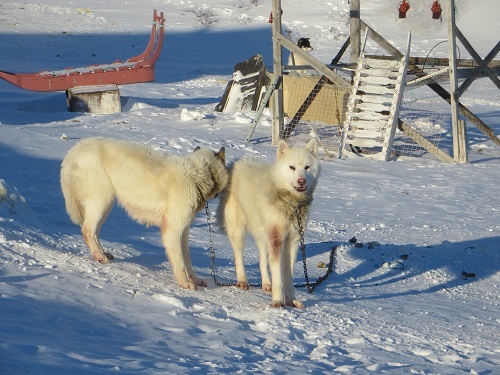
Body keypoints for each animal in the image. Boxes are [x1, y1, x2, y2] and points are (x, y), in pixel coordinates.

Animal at [60, 138, 229, 290]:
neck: (195, 176)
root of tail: (77, 148)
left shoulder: (184, 230)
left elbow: (187, 260)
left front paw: (195, 279)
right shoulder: (173, 230)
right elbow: (180, 262)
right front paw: (185, 283)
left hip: (106, 205)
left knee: (94, 232)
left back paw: (103, 253)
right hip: (102, 201)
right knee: (87, 230)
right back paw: (98, 255)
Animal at [219, 139, 320, 308]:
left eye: (307, 167)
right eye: (292, 167)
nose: (302, 181)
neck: (290, 202)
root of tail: (236, 163)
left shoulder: (292, 242)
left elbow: (288, 276)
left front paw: (291, 300)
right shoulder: (277, 240)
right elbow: (278, 277)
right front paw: (277, 301)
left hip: (263, 235)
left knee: (262, 260)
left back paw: (266, 284)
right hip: (239, 232)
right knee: (238, 258)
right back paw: (242, 281)